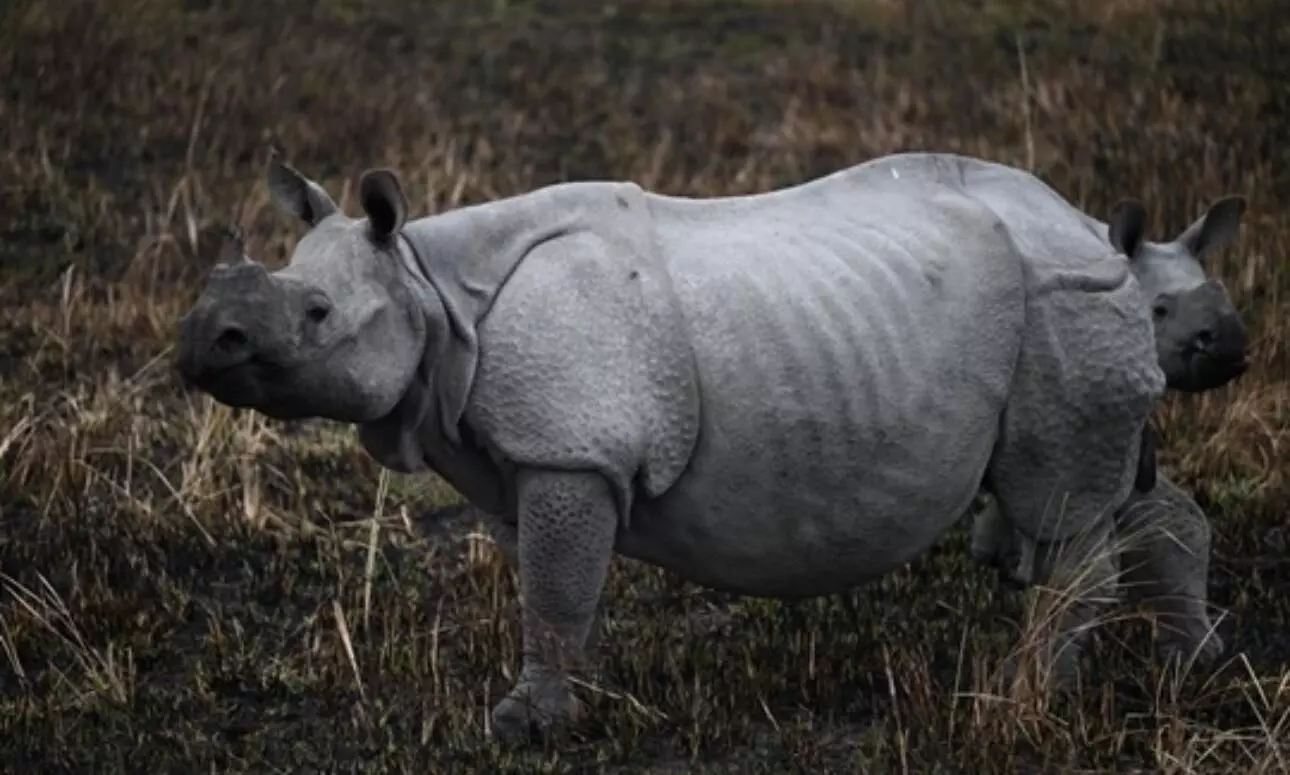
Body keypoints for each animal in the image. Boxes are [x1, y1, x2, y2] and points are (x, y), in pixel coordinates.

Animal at [176, 150, 1166, 743]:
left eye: (316, 314)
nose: (198, 341)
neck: (426, 286)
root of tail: (1098, 230)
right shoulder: (531, 455)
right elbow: (554, 583)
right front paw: (581, 692)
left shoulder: (569, 449)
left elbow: (552, 587)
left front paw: (523, 725)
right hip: (1059, 301)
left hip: (1067, 298)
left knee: (1060, 503)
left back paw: (1020, 696)